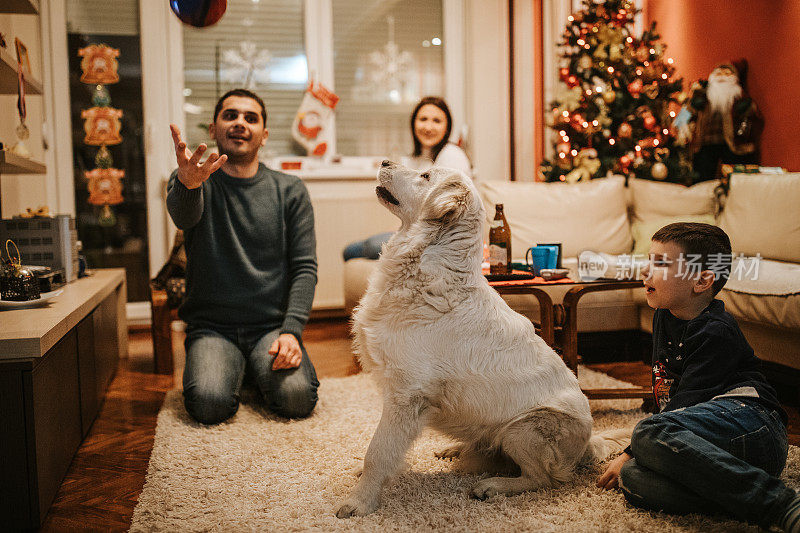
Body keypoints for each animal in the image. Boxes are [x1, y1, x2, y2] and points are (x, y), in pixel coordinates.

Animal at [334, 160, 628, 516]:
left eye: (425, 176)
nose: (384, 162)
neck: (428, 263)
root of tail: (587, 443)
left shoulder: (406, 396)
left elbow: (378, 451)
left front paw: (359, 502)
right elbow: (385, 448)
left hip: (524, 427)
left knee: (543, 479)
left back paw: (493, 486)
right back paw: (455, 450)